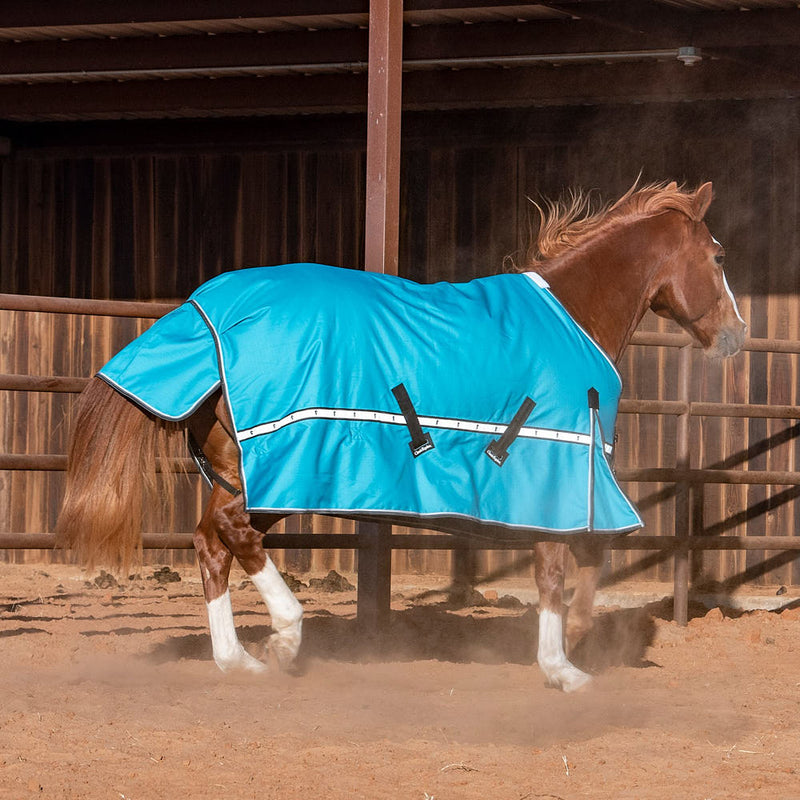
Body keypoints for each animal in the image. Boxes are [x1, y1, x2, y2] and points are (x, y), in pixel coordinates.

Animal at [56, 180, 747, 692]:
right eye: (718, 257)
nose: (736, 336)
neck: (572, 316)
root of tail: (206, 311)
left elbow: (577, 561)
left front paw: (567, 652)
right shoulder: (555, 466)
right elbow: (564, 565)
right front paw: (564, 664)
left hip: (247, 467)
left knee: (212, 542)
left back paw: (238, 660)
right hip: (279, 466)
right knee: (233, 534)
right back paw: (285, 636)